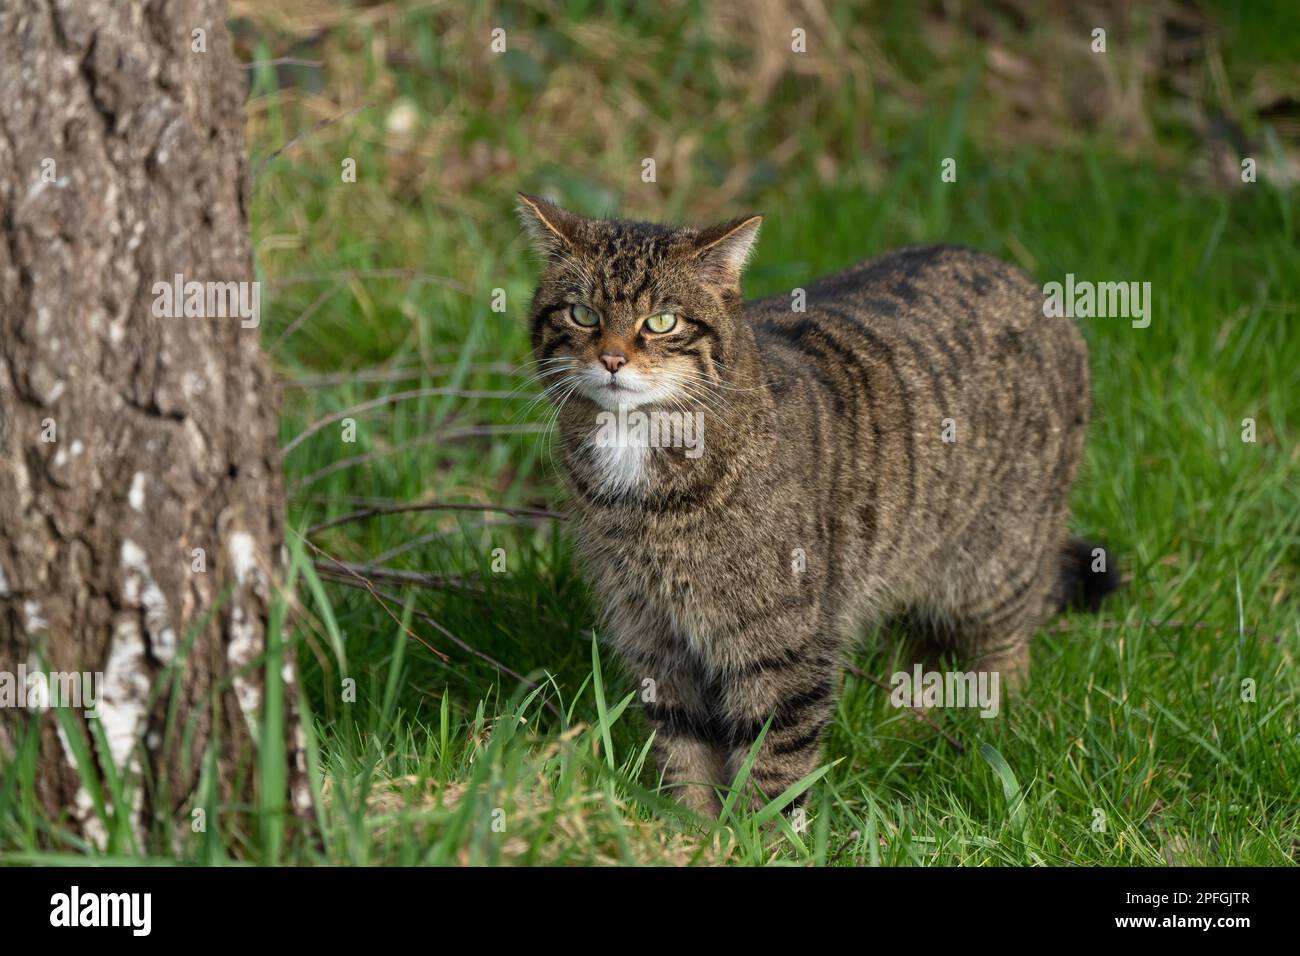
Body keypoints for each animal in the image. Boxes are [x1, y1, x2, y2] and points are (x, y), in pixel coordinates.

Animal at [517, 192, 1118, 816]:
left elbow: (774, 759)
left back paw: (993, 720)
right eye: (582, 314)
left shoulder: (782, 645)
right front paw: (689, 825)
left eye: (662, 321)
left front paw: (756, 831)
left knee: (1006, 645)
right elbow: (683, 746)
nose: (611, 359)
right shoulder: (652, 636)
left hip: (997, 564)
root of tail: (1030, 286)